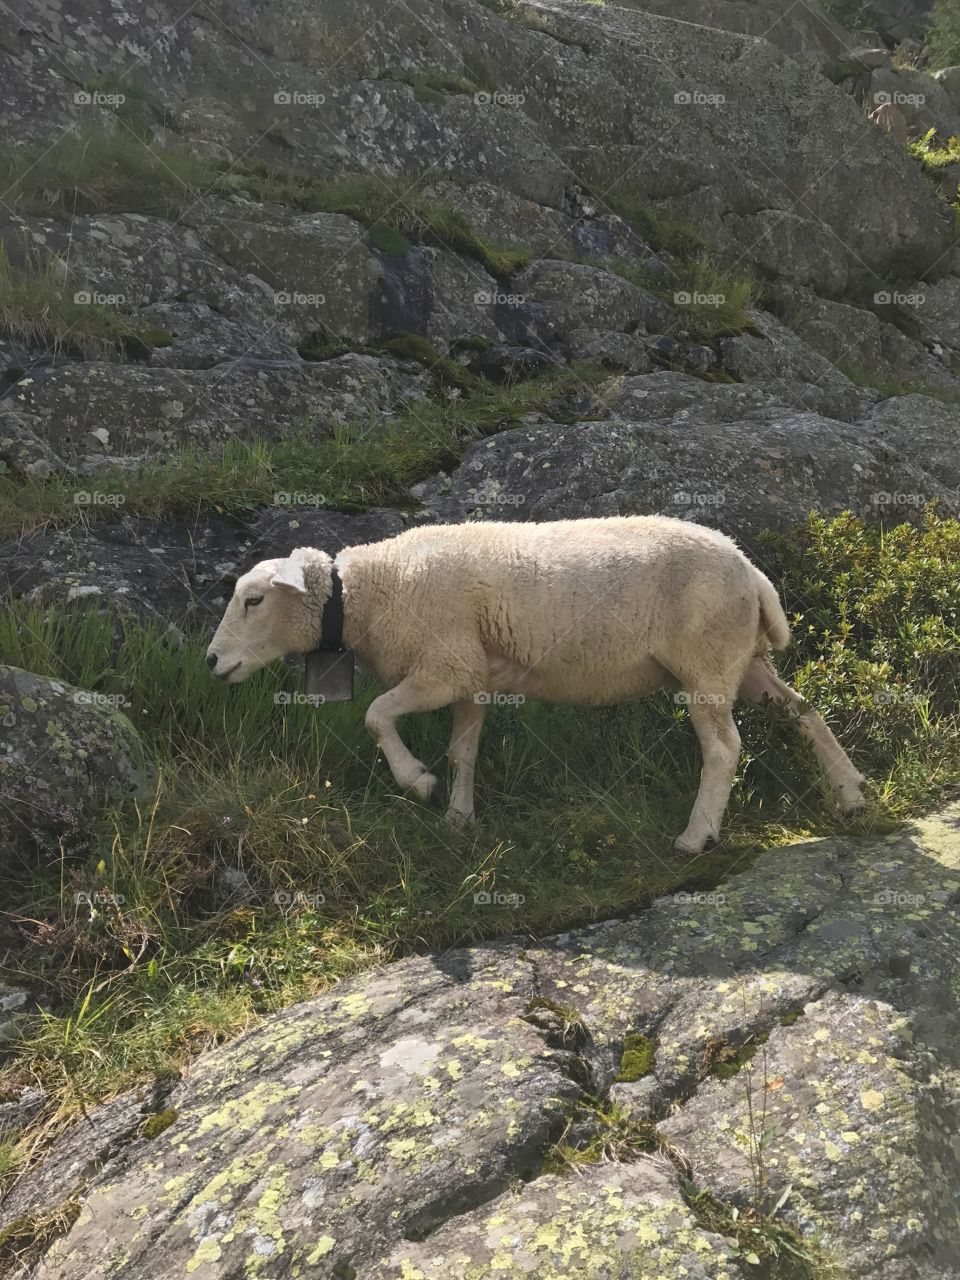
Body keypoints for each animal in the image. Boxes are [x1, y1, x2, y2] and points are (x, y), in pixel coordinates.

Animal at [207, 516, 866, 853]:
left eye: (254, 599)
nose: (212, 662)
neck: (372, 591)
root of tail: (751, 572)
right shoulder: (473, 676)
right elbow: (464, 750)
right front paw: (459, 816)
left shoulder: (445, 665)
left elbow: (375, 715)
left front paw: (417, 782)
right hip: (743, 660)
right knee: (804, 711)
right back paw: (850, 792)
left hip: (704, 660)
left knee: (724, 749)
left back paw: (697, 834)